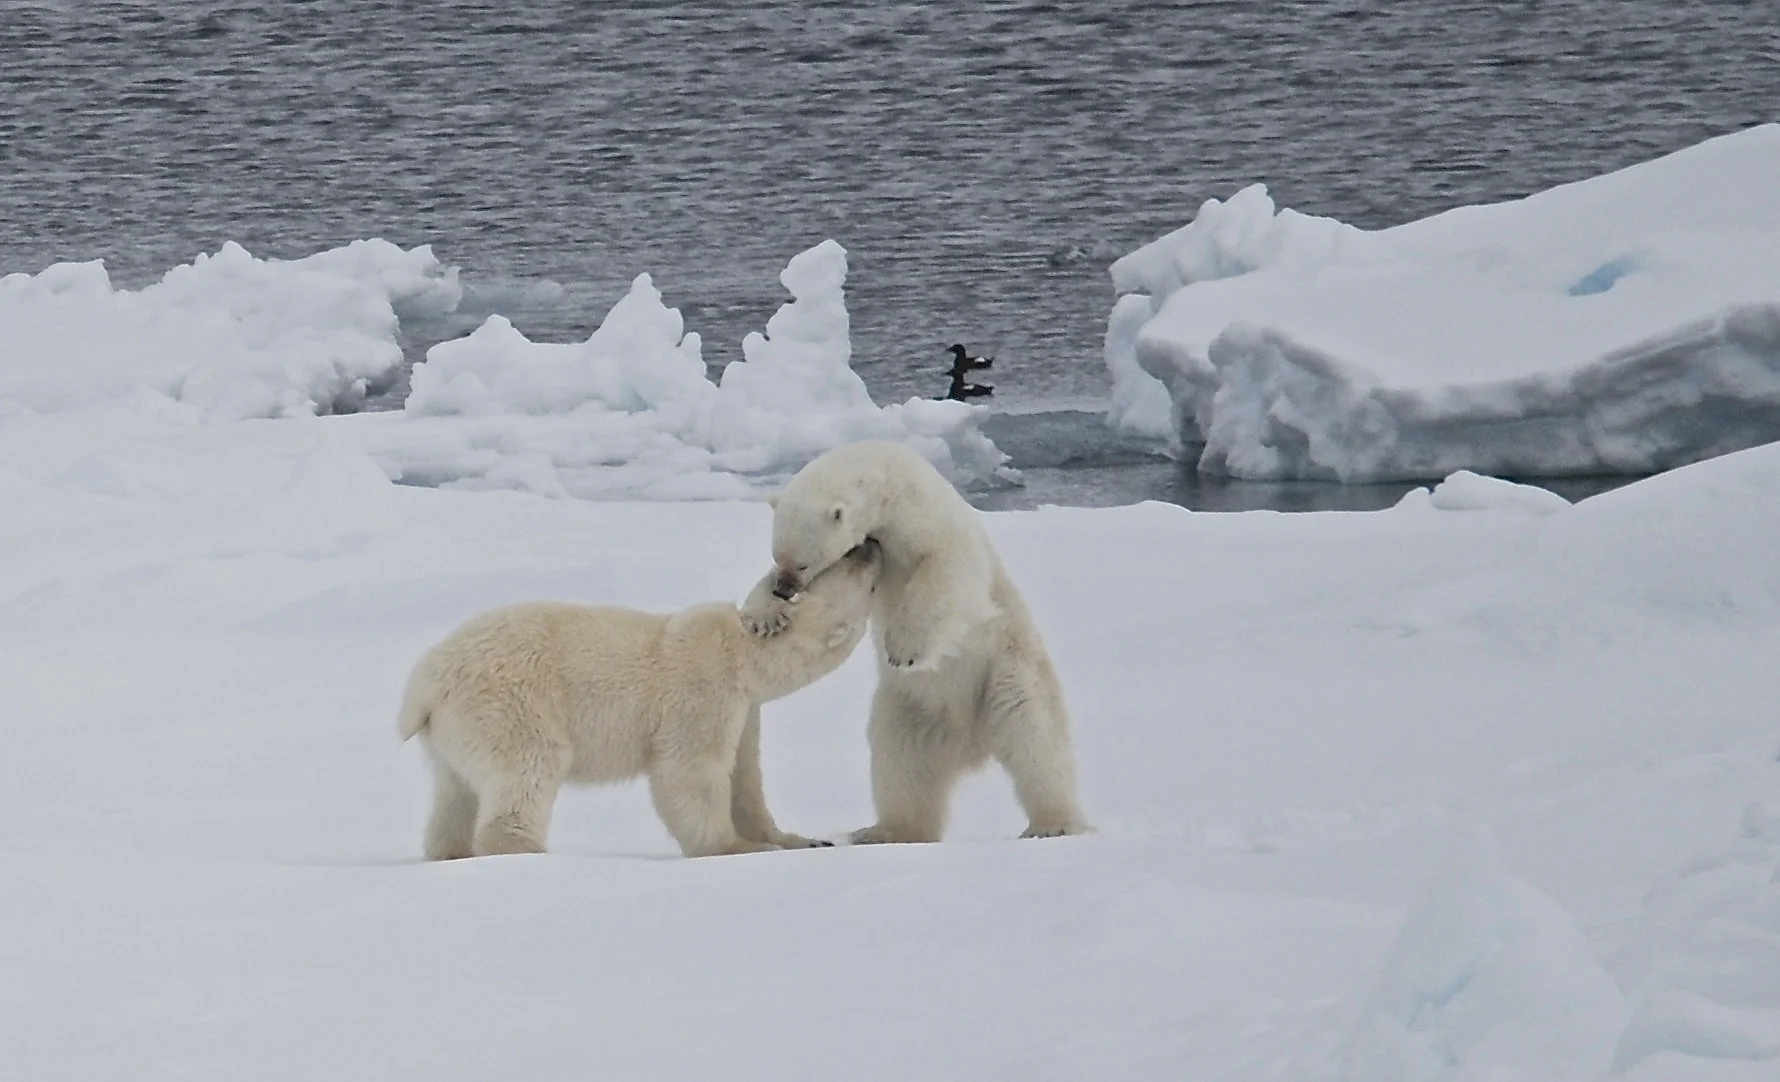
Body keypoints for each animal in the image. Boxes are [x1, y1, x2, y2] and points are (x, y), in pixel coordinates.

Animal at [398, 541, 882, 861]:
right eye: (844, 563)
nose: (870, 545)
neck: (744, 652)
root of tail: (424, 684)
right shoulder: (704, 690)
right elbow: (689, 774)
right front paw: (738, 847)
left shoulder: (746, 712)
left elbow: (745, 779)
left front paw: (801, 839)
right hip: (509, 704)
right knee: (529, 768)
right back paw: (526, 849)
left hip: (452, 732)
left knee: (455, 794)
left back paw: (452, 851)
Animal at [740, 439, 1082, 847]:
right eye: (779, 555)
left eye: (803, 564)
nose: (785, 588)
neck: (889, 477)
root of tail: (971, 742)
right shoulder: (868, 551)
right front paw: (764, 617)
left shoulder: (929, 520)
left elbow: (946, 569)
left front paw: (903, 649)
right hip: (909, 710)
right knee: (900, 764)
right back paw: (884, 831)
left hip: (1008, 672)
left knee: (1037, 741)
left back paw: (1053, 824)